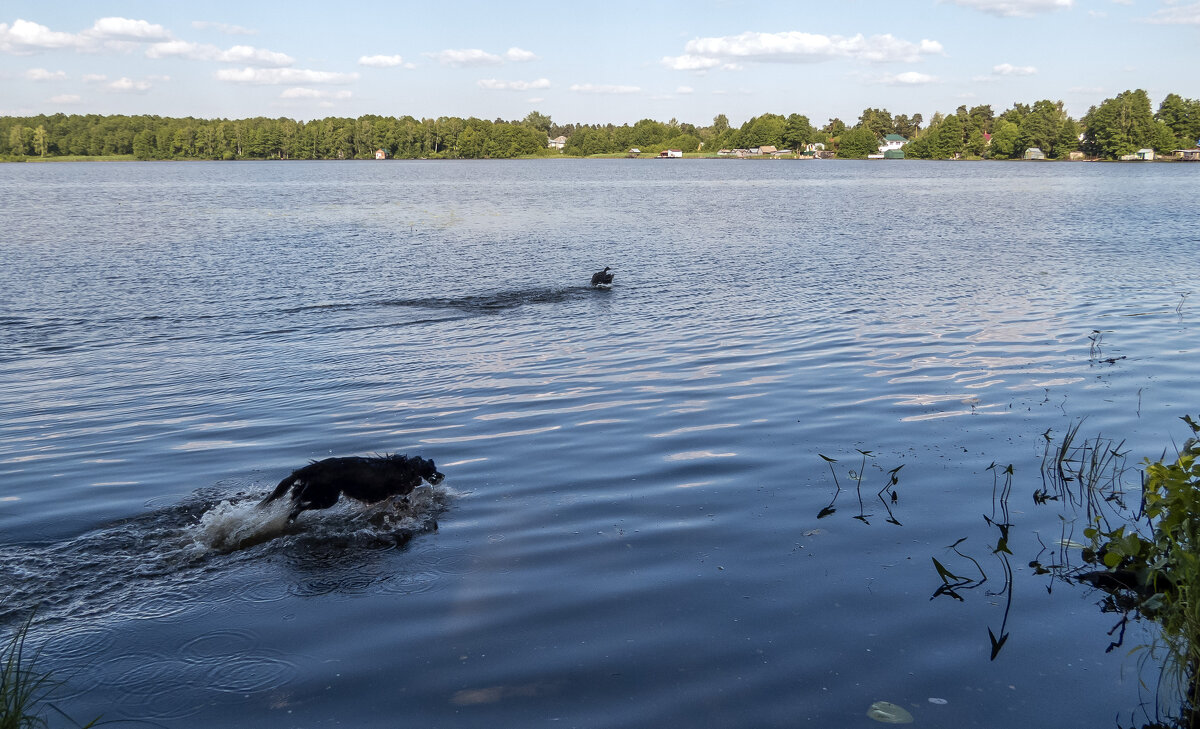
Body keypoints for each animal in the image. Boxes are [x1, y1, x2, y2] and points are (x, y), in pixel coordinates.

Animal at [261, 453, 446, 520]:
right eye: (433, 470)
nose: (443, 476)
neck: (406, 467)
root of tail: (312, 469)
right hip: (327, 497)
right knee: (298, 505)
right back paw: (291, 517)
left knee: (296, 496)